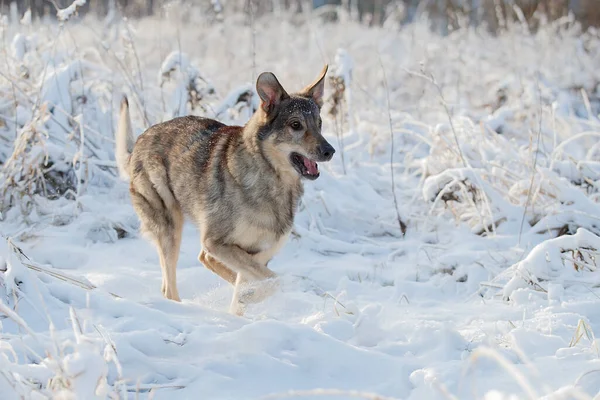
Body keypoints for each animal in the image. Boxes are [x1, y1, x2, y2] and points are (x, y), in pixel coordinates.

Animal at [115, 65, 336, 316]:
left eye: (319, 123)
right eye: (296, 125)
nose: (330, 151)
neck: (272, 180)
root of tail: (139, 142)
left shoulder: (258, 253)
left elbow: (252, 280)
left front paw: (242, 304)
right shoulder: (216, 242)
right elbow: (273, 281)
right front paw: (249, 298)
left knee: (201, 265)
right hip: (170, 229)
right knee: (170, 287)